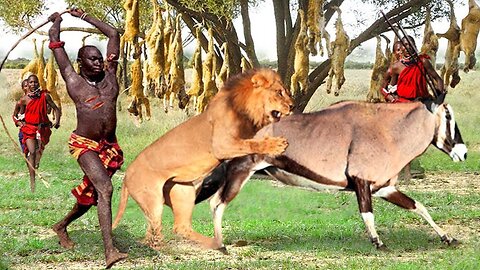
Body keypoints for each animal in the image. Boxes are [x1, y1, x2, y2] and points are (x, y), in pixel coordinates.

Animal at [113, 68, 292, 250]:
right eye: (279, 92)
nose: (292, 106)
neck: (245, 110)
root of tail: (126, 176)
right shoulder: (222, 145)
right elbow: (251, 143)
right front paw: (277, 145)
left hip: (183, 192)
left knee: (179, 227)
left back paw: (214, 244)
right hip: (153, 200)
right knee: (155, 230)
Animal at [201, 96, 466, 252]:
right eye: (448, 115)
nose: (463, 153)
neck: (387, 128)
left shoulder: (384, 188)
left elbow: (418, 206)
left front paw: (447, 237)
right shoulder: (362, 183)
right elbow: (367, 213)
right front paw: (377, 241)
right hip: (240, 172)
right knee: (217, 203)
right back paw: (221, 245)